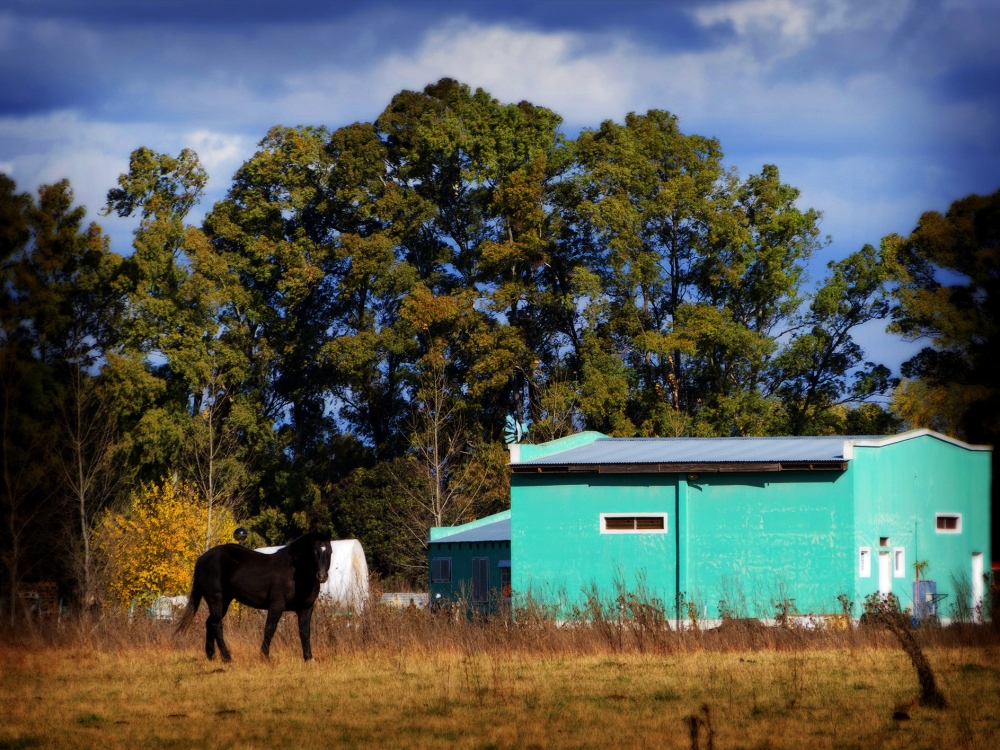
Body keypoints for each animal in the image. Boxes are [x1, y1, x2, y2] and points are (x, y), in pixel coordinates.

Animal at [178, 532, 334, 660]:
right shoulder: (276, 605)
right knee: (216, 624)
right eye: (314, 551)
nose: (322, 576)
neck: (295, 573)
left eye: (330, 552)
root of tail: (202, 559)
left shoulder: (306, 608)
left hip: (224, 601)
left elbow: (305, 632)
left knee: (209, 622)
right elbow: (270, 629)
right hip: (216, 598)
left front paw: (309, 658)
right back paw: (227, 657)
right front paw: (264, 656)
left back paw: (211, 656)